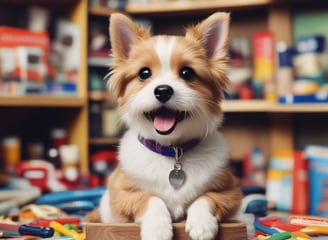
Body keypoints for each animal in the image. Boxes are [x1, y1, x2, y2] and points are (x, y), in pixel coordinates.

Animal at [88, 12, 242, 240]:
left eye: (187, 73)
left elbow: (207, 198)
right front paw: (157, 227)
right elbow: (149, 198)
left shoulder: (231, 192)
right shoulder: (117, 197)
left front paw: (202, 223)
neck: (172, 150)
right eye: (144, 73)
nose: (162, 90)